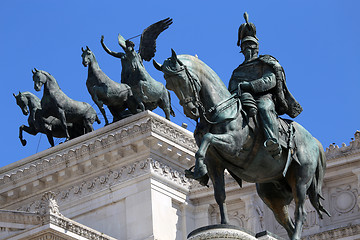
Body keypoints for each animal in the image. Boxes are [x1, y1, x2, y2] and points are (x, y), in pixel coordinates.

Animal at [153, 49, 330, 239]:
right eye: (168, 85)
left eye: (182, 79)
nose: (191, 111)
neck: (222, 110)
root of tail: (315, 142)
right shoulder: (214, 161)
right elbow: (220, 195)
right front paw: (224, 221)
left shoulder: (234, 145)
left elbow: (208, 138)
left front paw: (199, 170)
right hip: (271, 192)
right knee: (286, 221)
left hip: (301, 178)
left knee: (300, 211)